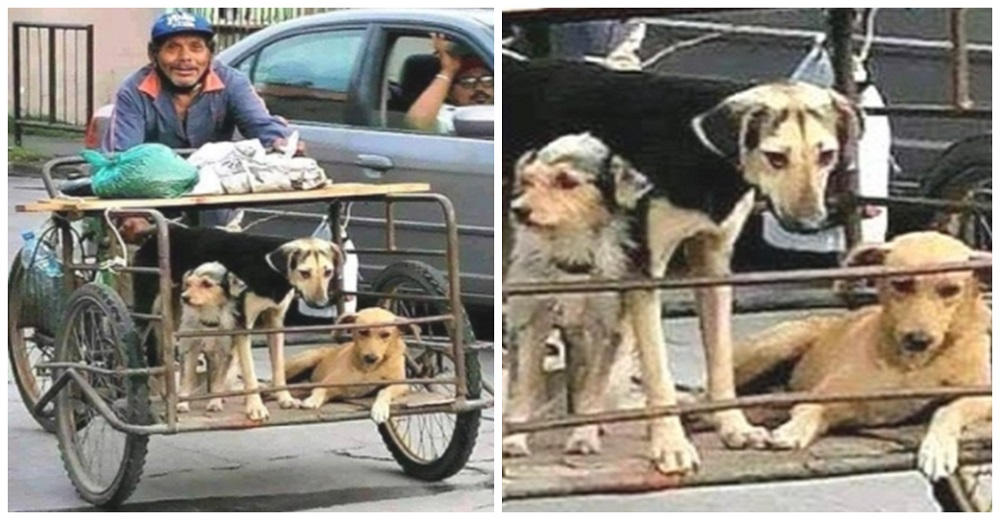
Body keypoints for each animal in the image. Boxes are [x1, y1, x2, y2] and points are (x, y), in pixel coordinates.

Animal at [176, 264, 246, 414]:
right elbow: (187, 379)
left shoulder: (225, 354)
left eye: (206, 284)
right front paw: (183, 403)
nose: (183, 297)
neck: (208, 319)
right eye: (188, 284)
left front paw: (215, 403)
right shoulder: (190, 349)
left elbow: (218, 381)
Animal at [286, 308, 414, 422]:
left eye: (386, 334)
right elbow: (319, 390)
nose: (371, 358)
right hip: (306, 360)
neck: (368, 369)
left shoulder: (401, 384)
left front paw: (380, 409)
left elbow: (384, 391)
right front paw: (312, 400)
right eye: (363, 332)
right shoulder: (329, 383)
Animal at [504, 61, 864, 476]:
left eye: (826, 155)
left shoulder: (713, 261)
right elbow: (658, 373)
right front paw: (671, 445)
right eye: (776, 157)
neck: (698, 153)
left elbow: (720, 358)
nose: (811, 224)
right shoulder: (643, 271)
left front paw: (734, 426)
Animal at [736, 232, 992, 480]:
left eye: (951, 290)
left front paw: (937, 449)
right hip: (779, 343)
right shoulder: (829, 394)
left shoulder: (983, 395)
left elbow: (947, 411)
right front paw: (794, 429)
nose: (918, 340)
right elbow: (808, 409)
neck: (911, 365)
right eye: (901, 285)